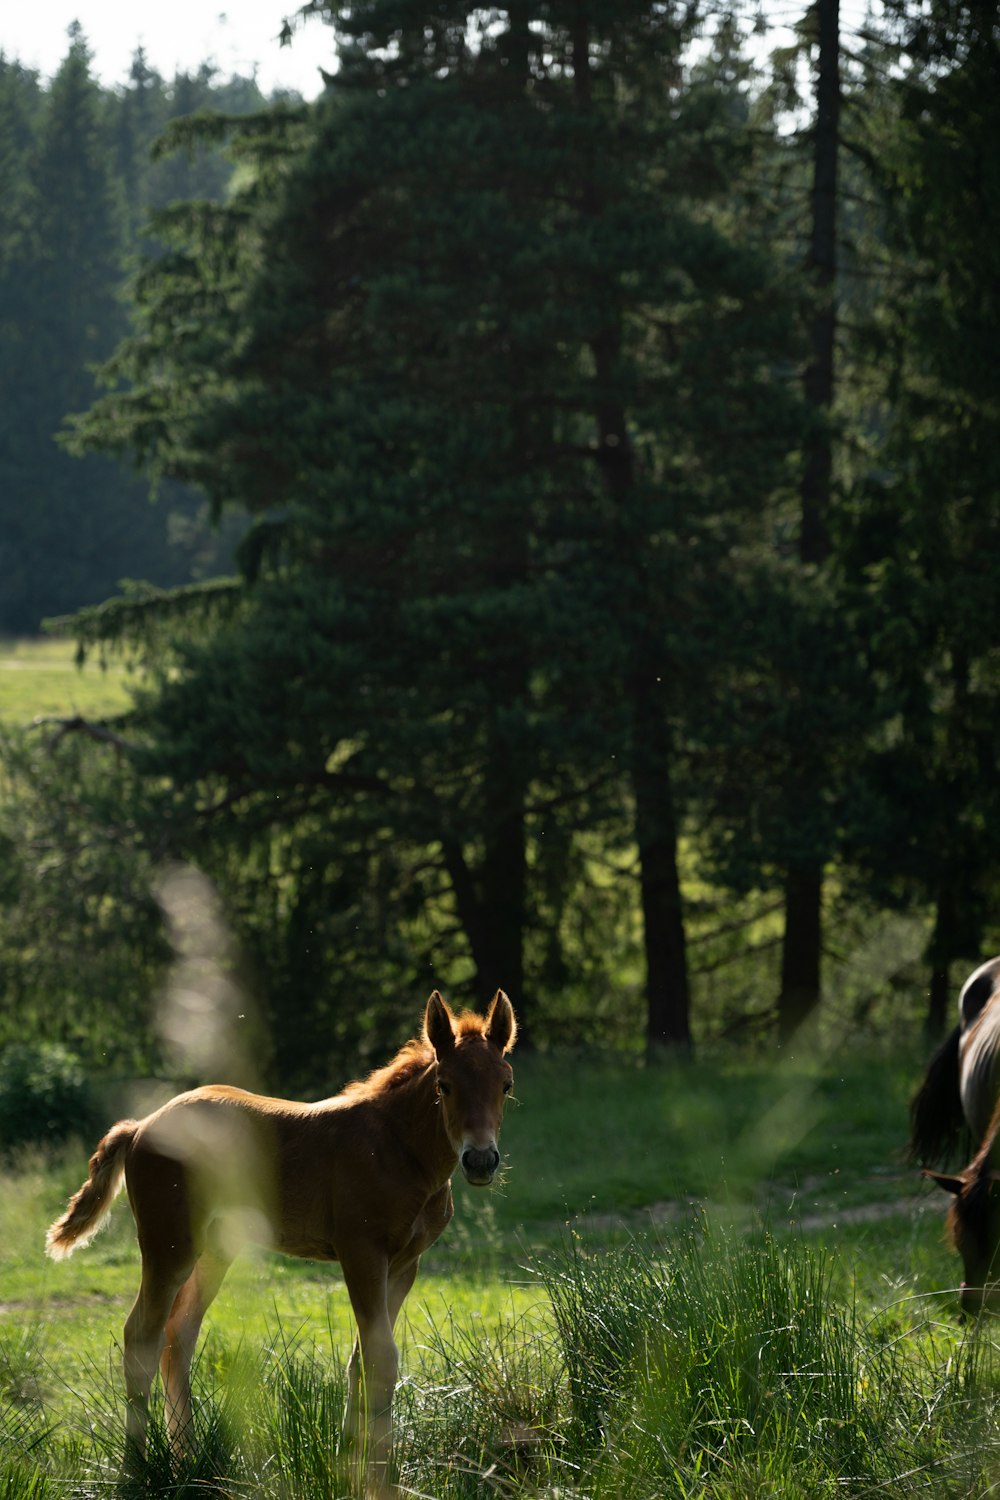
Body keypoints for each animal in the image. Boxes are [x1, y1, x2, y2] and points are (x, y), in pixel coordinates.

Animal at [45, 990, 515, 1494]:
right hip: (168, 1244)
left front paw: (349, 1471)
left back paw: (187, 1461)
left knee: (179, 1336)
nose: (481, 1160)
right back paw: (136, 1472)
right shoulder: (361, 1251)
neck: (398, 1149)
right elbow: (381, 1358)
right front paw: (378, 1483)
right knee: (141, 1337)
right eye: (444, 1085)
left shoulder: (406, 1263)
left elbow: (362, 1360)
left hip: (215, 1250)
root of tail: (140, 1126)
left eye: (506, 1085)